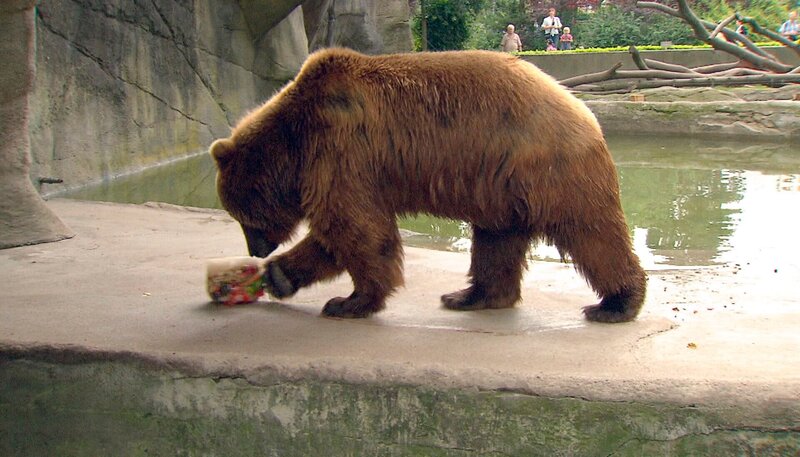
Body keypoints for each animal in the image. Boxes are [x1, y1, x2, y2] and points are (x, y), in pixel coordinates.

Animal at [209, 47, 647, 323]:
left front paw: (348, 301)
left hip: (548, 170)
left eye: (242, 216)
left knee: (590, 233)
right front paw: (279, 276)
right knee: (496, 241)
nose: (256, 248)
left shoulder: (342, 151)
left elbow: (355, 229)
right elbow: (343, 233)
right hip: (500, 187)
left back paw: (615, 304)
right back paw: (469, 295)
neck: (295, 141)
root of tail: (583, 109)